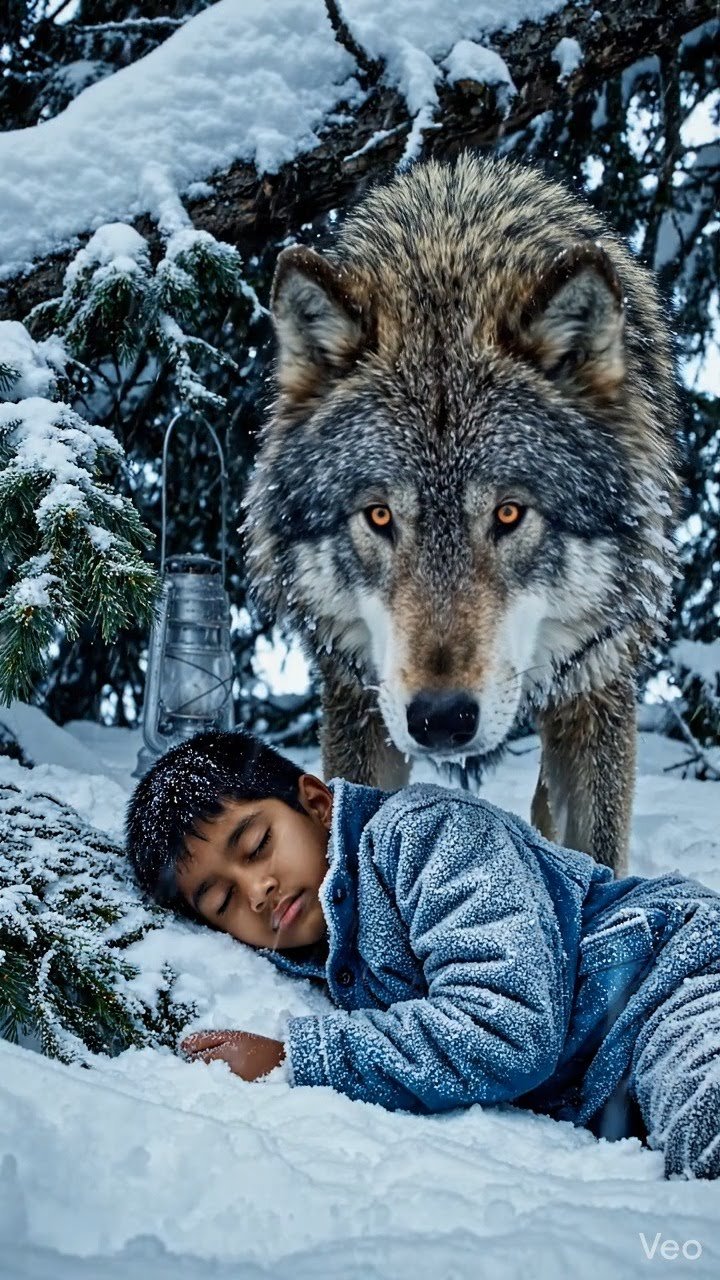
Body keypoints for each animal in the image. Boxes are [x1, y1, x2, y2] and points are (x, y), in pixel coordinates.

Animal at [243, 154, 679, 875]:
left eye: (508, 514)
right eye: (379, 517)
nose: (442, 719)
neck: (450, 264)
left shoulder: (599, 688)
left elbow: (597, 854)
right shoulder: (357, 695)